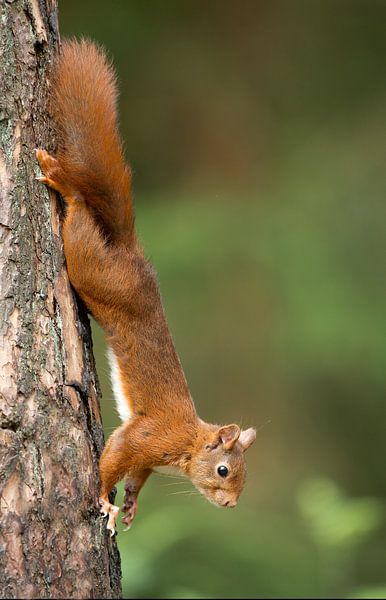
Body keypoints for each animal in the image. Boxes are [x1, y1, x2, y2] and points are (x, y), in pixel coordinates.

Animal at [35, 39, 253, 536]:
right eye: (224, 470)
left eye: (245, 476)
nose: (232, 506)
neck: (188, 444)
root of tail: (131, 254)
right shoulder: (148, 437)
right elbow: (114, 457)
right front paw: (104, 498)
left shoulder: (149, 459)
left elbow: (137, 475)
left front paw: (131, 502)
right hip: (93, 270)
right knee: (79, 214)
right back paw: (64, 183)